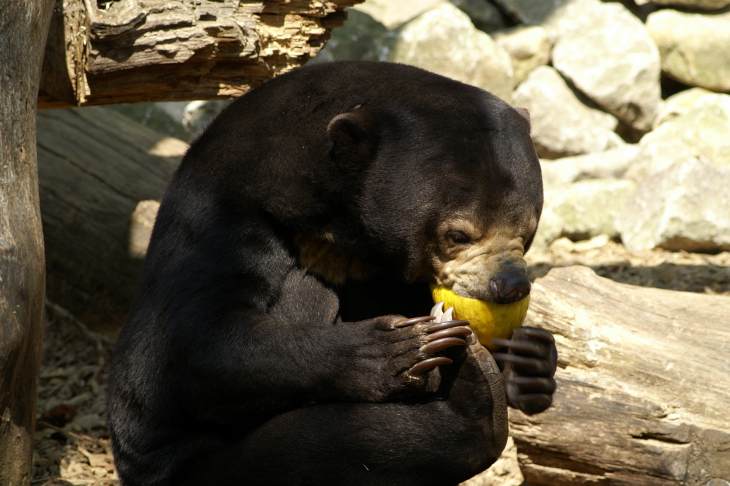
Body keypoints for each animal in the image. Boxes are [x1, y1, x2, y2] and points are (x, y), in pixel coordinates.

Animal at [108, 61, 556, 486]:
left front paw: (530, 357)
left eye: (529, 230)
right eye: (458, 234)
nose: (510, 286)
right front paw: (400, 349)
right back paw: (473, 394)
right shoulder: (225, 215)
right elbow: (196, 343)